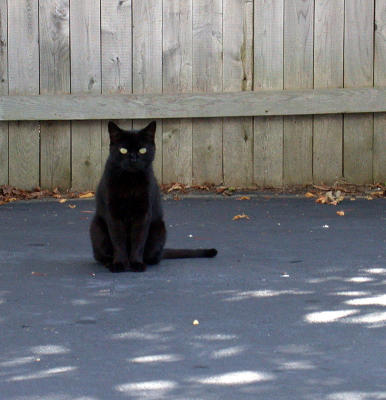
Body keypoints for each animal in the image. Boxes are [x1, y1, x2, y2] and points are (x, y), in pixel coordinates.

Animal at [90, 121, 217, 272]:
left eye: (142, 150)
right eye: (123, 150)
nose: (133, 158)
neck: (130, 182)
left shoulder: (143, 213)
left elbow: (138, 241)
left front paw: (136, 263)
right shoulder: (113, 214)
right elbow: (118, 241)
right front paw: (119, 264)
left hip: (159, 229)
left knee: (154, 257)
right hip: (97, 229)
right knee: (102, 255)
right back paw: (111, 263)